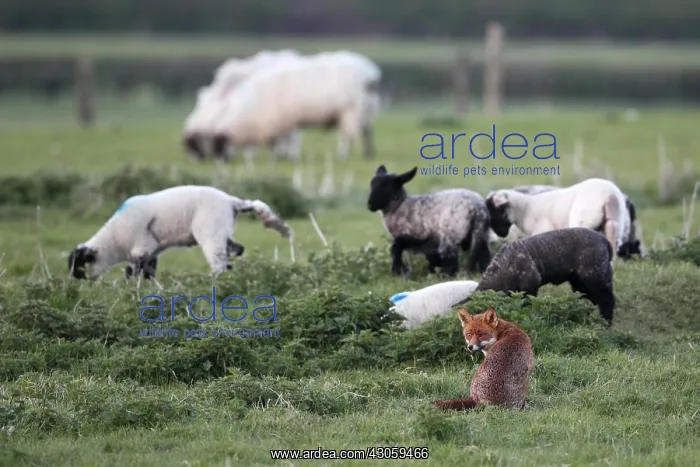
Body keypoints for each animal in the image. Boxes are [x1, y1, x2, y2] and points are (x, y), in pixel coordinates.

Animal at [68, 185, 292, 281]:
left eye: (79, 264)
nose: (76, 281)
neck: (113, 241)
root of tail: (232, 201)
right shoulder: (151, 253)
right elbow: (147, 274)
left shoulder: (141, 249)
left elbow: (132, 273)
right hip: (222, 232)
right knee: (237, 250)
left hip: (211, 234)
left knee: (220, 264)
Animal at [211, 50, 382, 161]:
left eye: (221, 142)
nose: (223, 160)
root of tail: (370, 73)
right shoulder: (279, 122)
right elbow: (279, 140)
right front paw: (279, 155)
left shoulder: (287, 120)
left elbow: (289, 139)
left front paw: (289, 156)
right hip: (365, 108)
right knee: (367, 130)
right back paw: (368, 153)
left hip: (351, 110)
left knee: (349, 135)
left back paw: (342, 155)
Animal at [457, 227, 616, 325]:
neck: (501, 270)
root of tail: (605, 242)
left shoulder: (530, 285)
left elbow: (527, 304)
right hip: (580, 281)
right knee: (591, 298)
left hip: (595, 275)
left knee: (606, 299)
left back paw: (606, 323)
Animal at [485, 178, 634, 260]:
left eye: (494, 213)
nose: (500, 235)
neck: (526, 209)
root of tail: (609, 196)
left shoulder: (543, 230)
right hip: (614, 221)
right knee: (613, 240)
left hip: (582, 220)